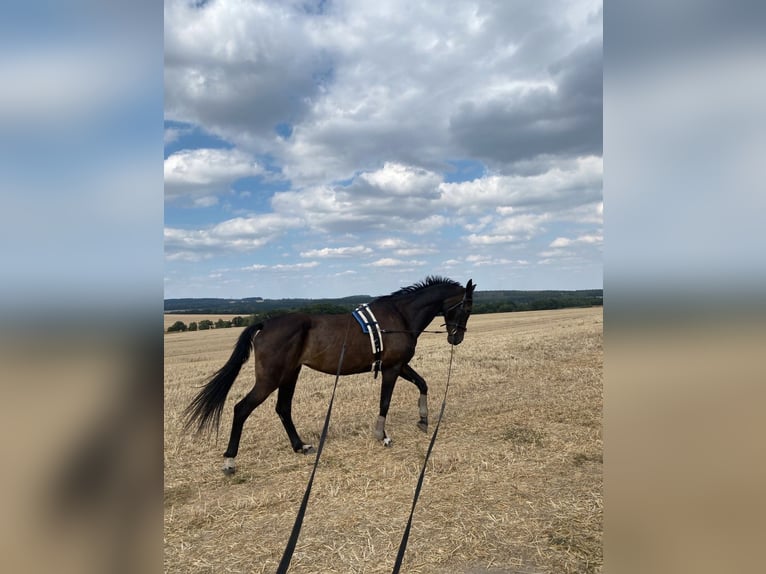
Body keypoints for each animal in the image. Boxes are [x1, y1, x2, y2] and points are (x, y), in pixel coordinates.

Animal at [183, 276, 476, 475]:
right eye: (467, 308)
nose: (457, 338)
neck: (400, 316)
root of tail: (266, 323)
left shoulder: (401, 366)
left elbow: (422, 384)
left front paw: (424, 419)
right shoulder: (392, 368)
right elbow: (385, 402)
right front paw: (382, 435)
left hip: (290, 374)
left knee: (283, 408)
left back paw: (300, 446)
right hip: (270, 379)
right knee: (241, 408)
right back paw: (230, 460)